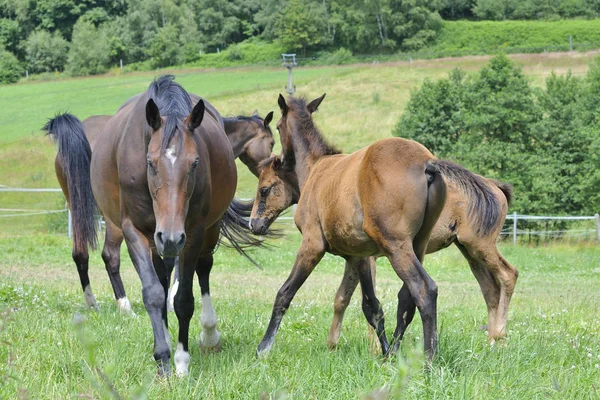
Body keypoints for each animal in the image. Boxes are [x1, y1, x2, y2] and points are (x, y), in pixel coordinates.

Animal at [43, 76, 256, 376]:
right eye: (150, 162)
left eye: (195, 163)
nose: (170, 237)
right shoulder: (135, 232)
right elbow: (154, 293)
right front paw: (163, 356)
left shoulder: (192, 234)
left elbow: (183, 298)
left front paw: (181, 361)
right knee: (157, 276)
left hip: (205, 231)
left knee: (203, 268)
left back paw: (209, 335)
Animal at [246, 94, 448, 360]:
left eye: (264, 190)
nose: (254, 224)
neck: (315, 168)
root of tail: (426, 164)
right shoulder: (358, 256)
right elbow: (371, 306)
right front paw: (382, 351)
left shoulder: (312, 245)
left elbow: (284, 293)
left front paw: (263, 348)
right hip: (418, 245)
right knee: (406, 297)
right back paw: (394, 352)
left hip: (396, 246)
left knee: (425, 289)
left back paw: (428, 358)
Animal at [326, 164, 516, 348]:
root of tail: (494, 186)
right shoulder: (354, 257)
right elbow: (342, 298)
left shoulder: (367, 258)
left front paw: (375, 349)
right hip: (469, 251)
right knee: (490, 289)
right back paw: (492, 343)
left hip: (481, 245)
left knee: (509, 274)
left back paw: (499, 335)